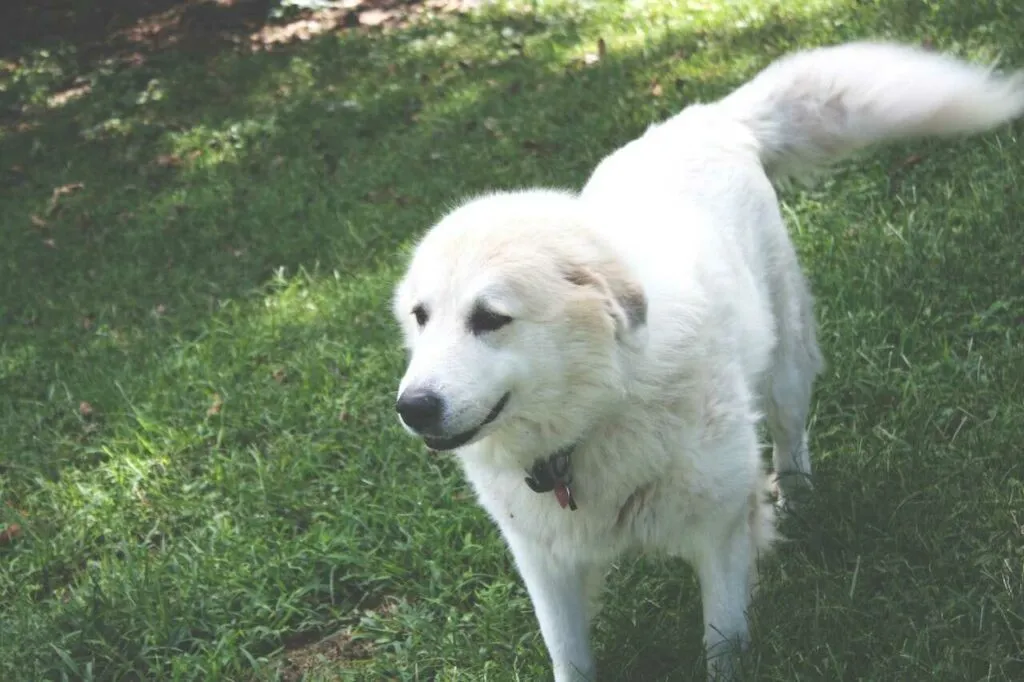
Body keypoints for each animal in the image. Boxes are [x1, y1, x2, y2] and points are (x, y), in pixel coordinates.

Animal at [391, 43, 1024, 679]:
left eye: (490, 318)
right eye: (421, 316)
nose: (411, 408)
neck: (601, 412)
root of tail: (707, 119)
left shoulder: (718, 533)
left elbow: (722, 643)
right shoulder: (548, 564)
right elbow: (570, 659)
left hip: (785, 368)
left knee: (791, 440)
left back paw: (799, 504)